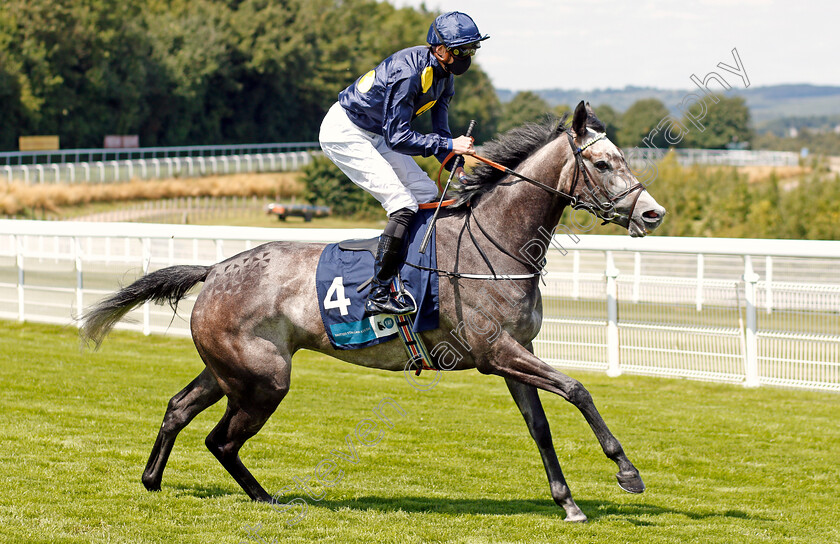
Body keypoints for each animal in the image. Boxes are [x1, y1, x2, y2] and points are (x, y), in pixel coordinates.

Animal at [82, 102, 668, 524]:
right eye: (602, 163)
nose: (652, 213)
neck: (497, 243)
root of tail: (216, 269)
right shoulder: (495, 352)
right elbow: (578, 390)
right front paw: (627, 471)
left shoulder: (515, 352)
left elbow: (540, 427)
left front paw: (568, 502)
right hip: (263, 380)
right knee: (220, 439)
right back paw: (267, 498)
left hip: (230, 370)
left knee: (179, 410)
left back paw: (155, 480)